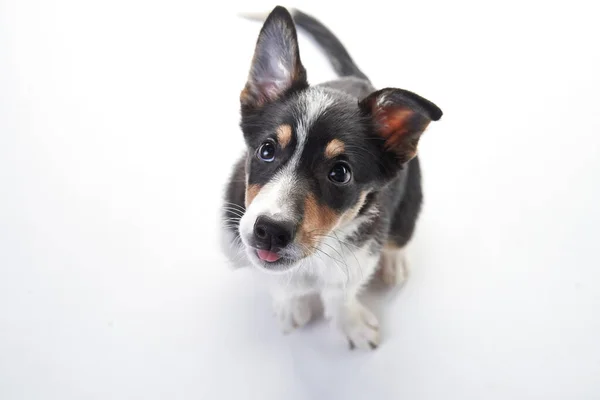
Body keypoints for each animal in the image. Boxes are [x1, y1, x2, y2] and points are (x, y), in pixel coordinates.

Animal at [220, 6, 440, 350]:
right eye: (266, 150)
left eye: (340, 173)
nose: (270, 231)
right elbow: (279, 284)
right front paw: (291, 307)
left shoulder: (361, 253)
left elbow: (341, 293)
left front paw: (353, 325)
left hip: (411, 193)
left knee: (401, 232)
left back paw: (394, 262)